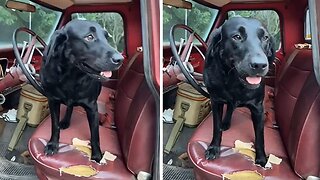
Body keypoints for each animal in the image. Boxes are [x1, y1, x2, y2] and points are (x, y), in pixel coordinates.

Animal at [39, 19, 124, 162]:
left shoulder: (92, 108)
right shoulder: (53, 101)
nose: (120, 59)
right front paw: (52, 144)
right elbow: (55, 125)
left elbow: (95, 135)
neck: (71, 77)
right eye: (89, 37)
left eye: (106, 37)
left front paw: (97, 156)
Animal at [205, 17, 276, 167]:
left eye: (265, 37)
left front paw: (261, 158)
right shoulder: (216, 102)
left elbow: (260, 137)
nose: (260, 65)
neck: (234, 81)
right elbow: (216, 127)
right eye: (237, 37)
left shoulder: (258, 109)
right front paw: (214, 148)